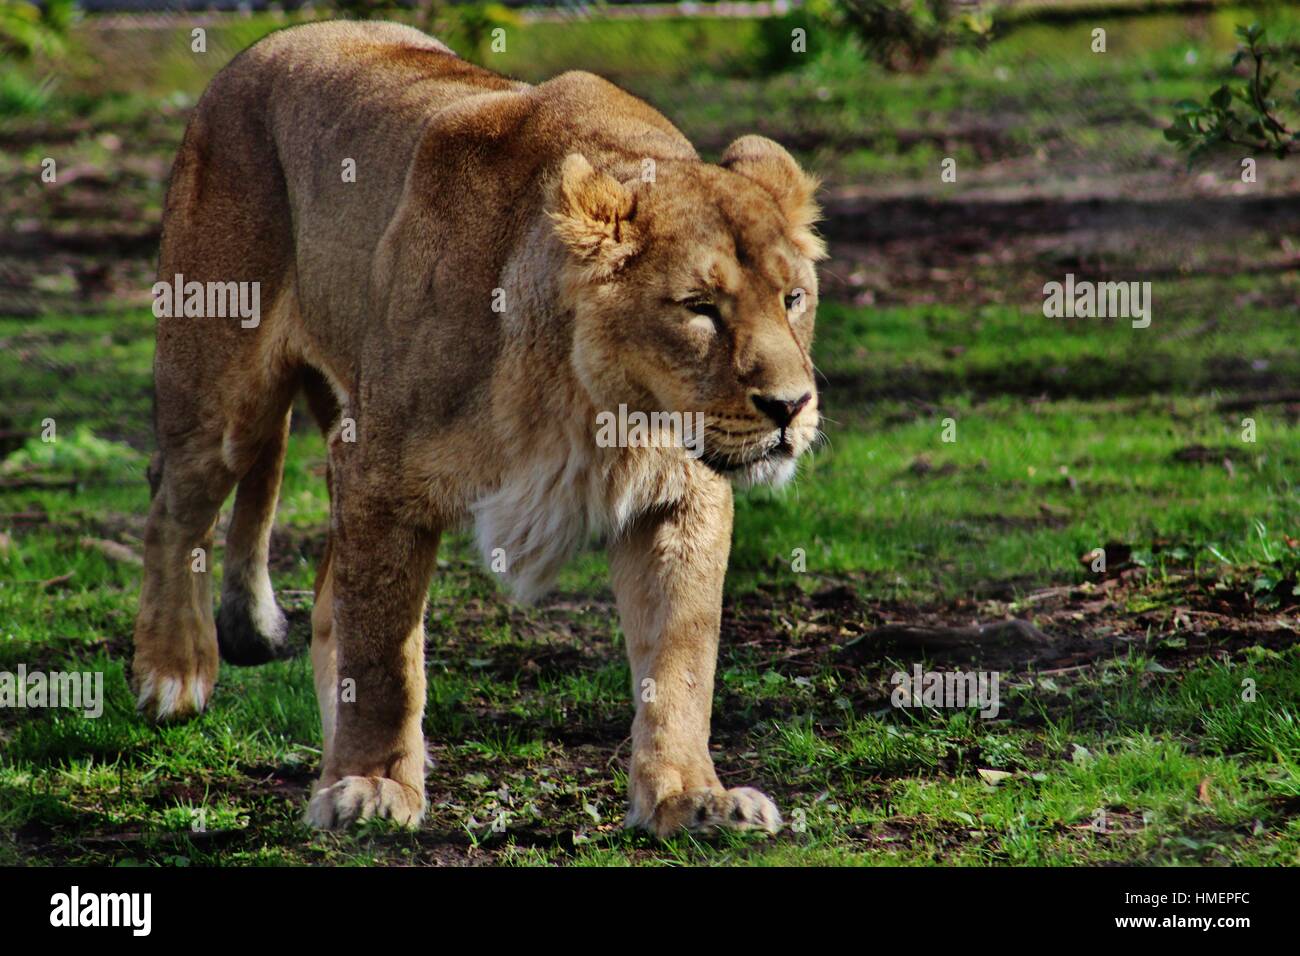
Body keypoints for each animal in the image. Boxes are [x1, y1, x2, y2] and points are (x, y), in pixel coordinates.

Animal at [132, 19, 825, 838]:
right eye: (699, 308)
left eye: (794, 298)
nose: (791, 406)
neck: (595, 408)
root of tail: (270, 43)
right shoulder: (380, 473)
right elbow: (386, 657)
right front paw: (374, 786)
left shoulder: (682, 501)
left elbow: (680, 663)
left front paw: (690, 796)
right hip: (220, 386)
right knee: (174, 503)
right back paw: (174, 674)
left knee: (326, 594)